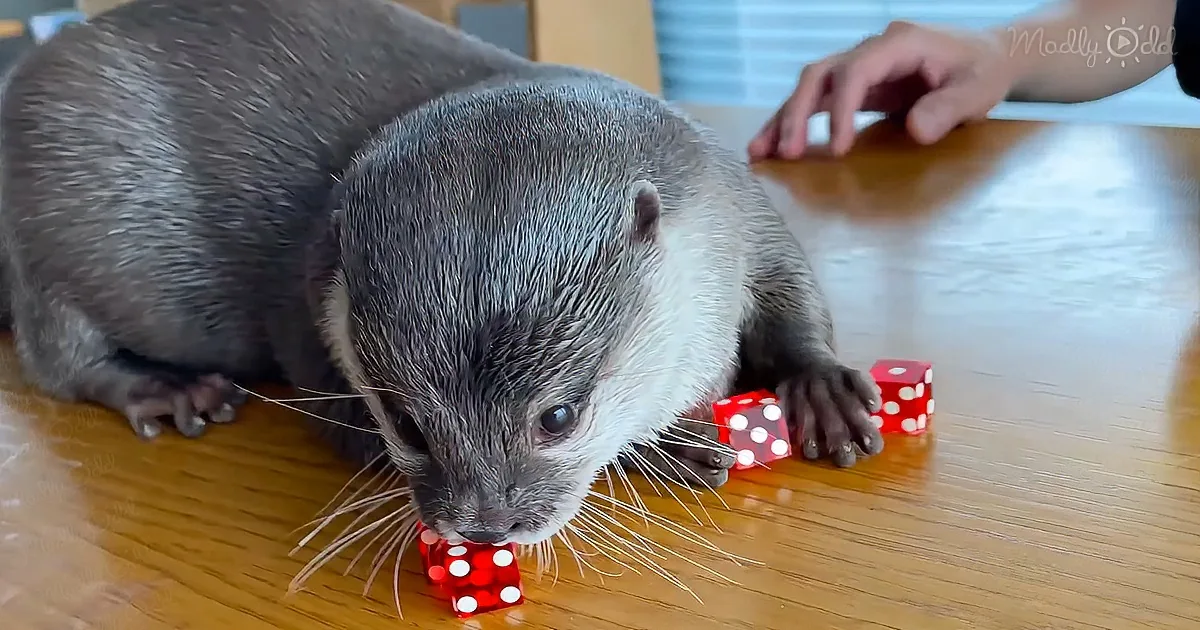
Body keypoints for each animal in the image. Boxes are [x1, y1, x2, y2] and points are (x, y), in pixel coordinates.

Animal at [0, 0, 882, 546]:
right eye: (406, 424)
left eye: (558, 417)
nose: (484, 525)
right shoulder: (310, 317)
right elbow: (341, 429)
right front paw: (662, 451)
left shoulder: (731, 199)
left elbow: (792, 290)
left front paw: (823, 387)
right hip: (46, 215)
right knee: (60, 360)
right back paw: (164, 389)